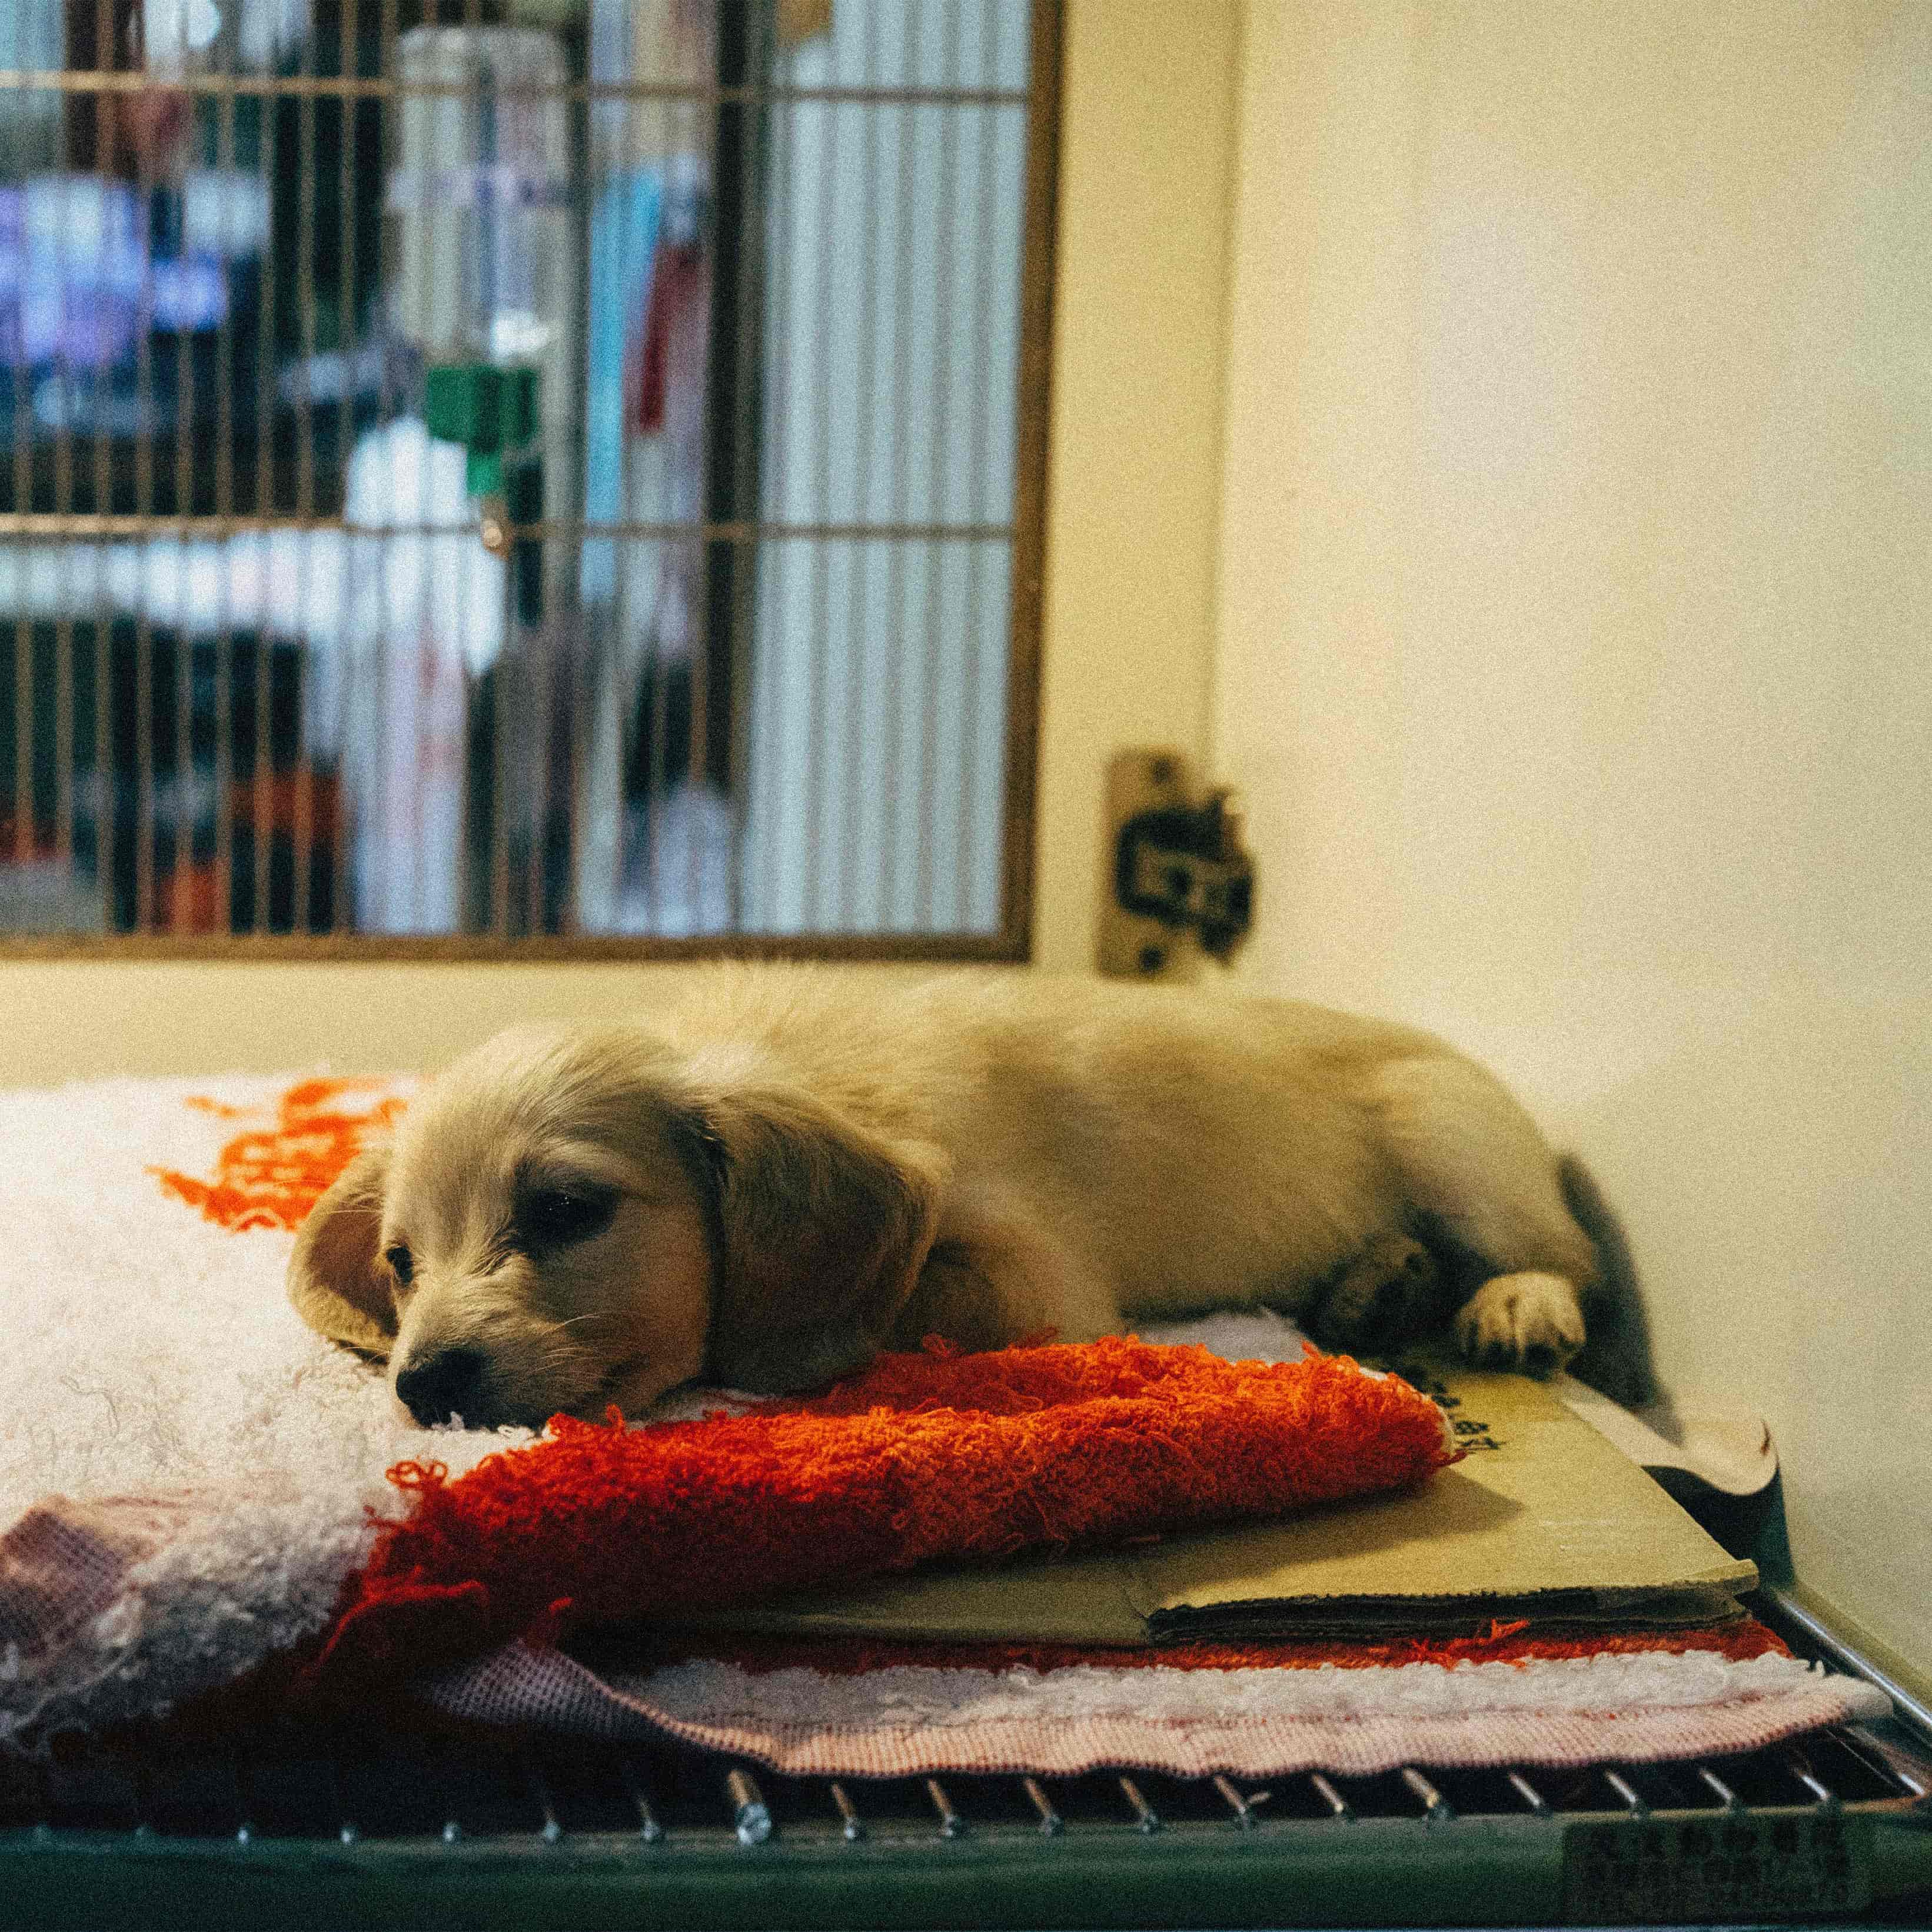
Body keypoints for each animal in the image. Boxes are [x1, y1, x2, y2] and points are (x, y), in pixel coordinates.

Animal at [288, 965, 1602, 1430]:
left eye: (565, 1210)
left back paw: (1515, 1303)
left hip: (1452, 1139)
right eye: (401, 1263)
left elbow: (903, 1302)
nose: (422, 1383)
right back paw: (1378, 1285)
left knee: (1563, 1259)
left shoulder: (1037, 1278)